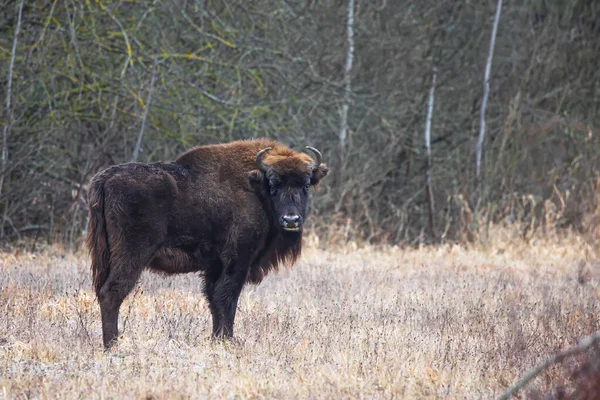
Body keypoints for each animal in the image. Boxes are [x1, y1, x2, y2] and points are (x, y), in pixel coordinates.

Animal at [85, 139, 328, 348]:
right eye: (273, 184)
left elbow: (214, 299)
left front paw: (217, 338)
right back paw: (112, 345)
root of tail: (106, 178)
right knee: (112, 293)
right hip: (132, 255)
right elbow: (227, 298)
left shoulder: (215, 265)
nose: (291, 220)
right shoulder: (238, 259)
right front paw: (227, 340)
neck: (255, 189)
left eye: (306, 185)